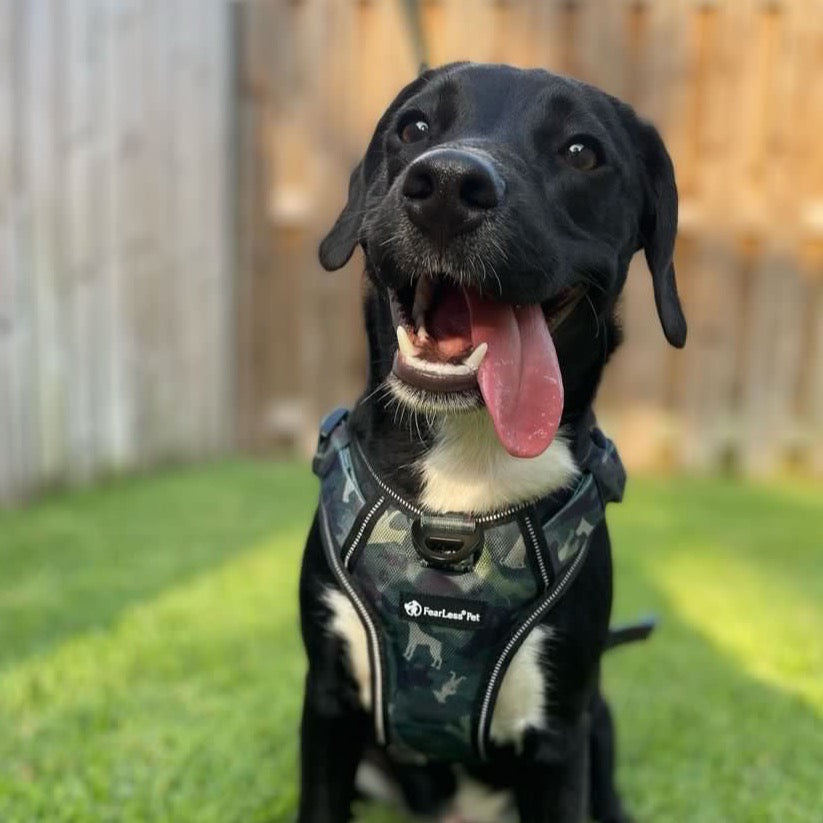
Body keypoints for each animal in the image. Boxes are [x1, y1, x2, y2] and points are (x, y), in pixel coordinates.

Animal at [300, 62, 684, 823]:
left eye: (580, 152)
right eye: (414, 127)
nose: (447, 184)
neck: (467, 464)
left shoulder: (562, 734)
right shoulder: (325, 703)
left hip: (599, 725)